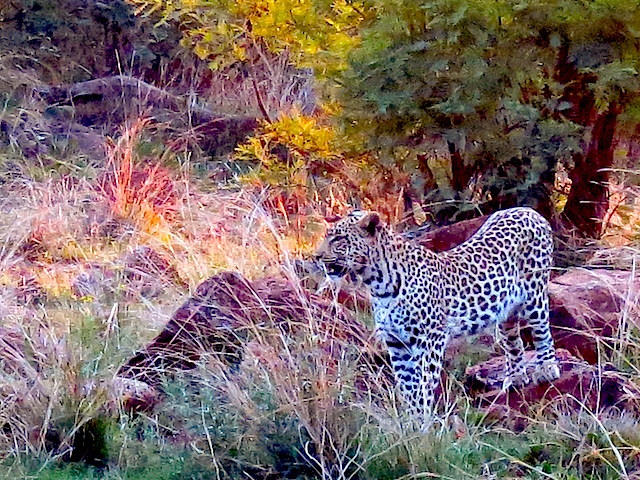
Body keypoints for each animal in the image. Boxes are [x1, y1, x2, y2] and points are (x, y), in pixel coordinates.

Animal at [316, 206, 560, 428]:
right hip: (506, 310)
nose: (316, 256)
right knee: (513, 341)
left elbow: (423, 383)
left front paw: (423, 420)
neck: (378, 283)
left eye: (338, 239)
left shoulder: (430, 340)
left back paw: (547, 369)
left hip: (535, 294)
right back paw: (516, 377)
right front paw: (412, 422)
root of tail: (529, 211)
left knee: (542, 331)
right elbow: (407, 385)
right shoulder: (396, 343)